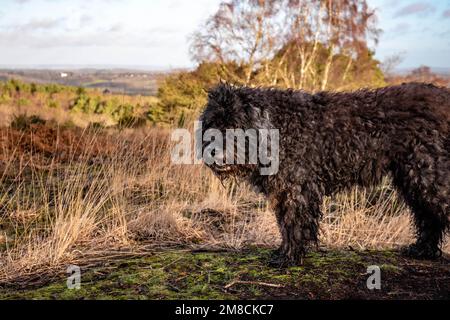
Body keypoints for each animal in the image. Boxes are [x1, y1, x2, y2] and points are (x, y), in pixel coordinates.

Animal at [201, 82, 450, 264]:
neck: (277, 128)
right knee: (428, 217)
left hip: (428, 176)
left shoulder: (295, 189)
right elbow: (285, 224)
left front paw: (289, 257)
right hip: (413, 179)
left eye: (235, 125)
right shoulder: (284, 192)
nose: (215, 153)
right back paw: (422, 250)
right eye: (212, 124)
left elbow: (293, 223)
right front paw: (285, 252)